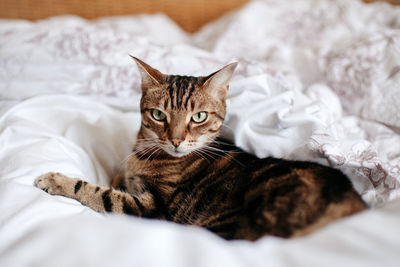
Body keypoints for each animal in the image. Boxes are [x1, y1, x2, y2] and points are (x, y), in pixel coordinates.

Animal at [36, 57, 368, 242]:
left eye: (198, 117)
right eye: (158, 115)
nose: (176, 139)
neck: (145, 154)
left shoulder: (152, 208)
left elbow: (97, 192)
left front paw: (55, 180)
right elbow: (116, 180)